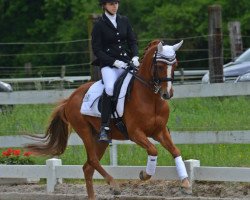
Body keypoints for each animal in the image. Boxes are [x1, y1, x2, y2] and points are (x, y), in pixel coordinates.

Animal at [26, 38, 190, 198]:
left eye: (175, 65)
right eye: (160, 66)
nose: (167, 94)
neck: (151, 99)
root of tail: (70, 98)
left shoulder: (160, 132)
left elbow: (176, 151)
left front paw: (186, 183)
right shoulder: (135, 133)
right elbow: (153, 150)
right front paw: (144, 174)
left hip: (100, 140)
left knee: (88, 167)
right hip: (85, 131)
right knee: (92, 160)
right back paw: (113, 184)